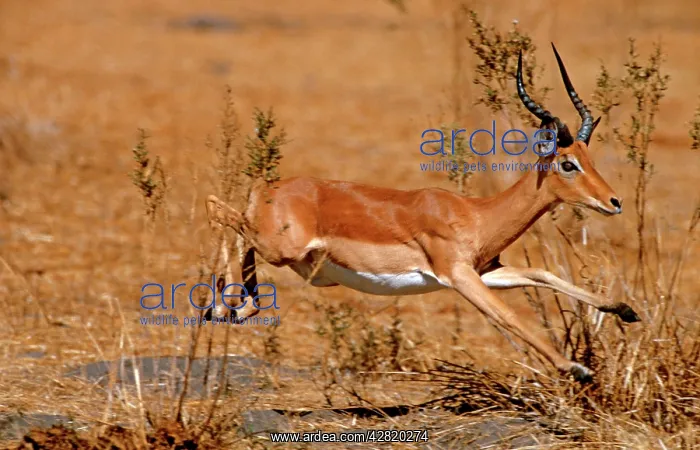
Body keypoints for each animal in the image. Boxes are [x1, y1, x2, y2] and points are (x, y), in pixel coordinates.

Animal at [205, 44, 640, 382]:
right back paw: (226, 306)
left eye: (589, 158)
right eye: (568, 163)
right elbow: (508, 317)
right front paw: (576, 368)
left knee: (230, 221)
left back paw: (234, 307)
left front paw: (623, 308)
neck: (477, 215)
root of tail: (270, 188)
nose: (614, 202)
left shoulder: (487, 271)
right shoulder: (458, 276)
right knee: (218, 208)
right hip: (280, 247)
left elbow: (541, 274)